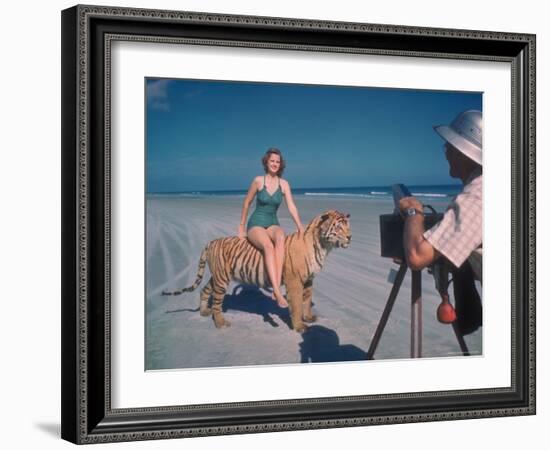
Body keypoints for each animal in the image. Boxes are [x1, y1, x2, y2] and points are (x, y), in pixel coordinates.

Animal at [163, 209, 354, 332]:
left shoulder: (308, 280)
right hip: (222, 279)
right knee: (217, 302)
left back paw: (204, 312)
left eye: (348, 225)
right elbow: (297, 304)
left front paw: (308, 318)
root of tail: (211, 242)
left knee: (204, 290)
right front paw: (300, 327)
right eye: (338, 226)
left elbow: (306, 301)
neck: (323, 246)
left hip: (216, 276)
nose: (350, 237)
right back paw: (221, 323)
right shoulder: (295, 281)